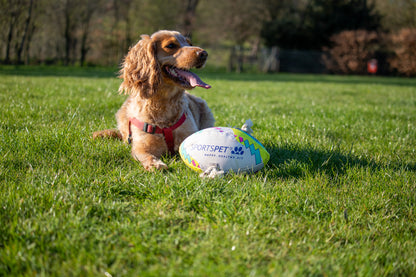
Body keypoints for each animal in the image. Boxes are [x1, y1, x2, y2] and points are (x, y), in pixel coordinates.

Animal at [93, 29, 214, 169]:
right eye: (171, 45)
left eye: (189, 43)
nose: (204, 54)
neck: (164, 103)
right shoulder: (141, 147)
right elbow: (147, 156)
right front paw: (156, 164)